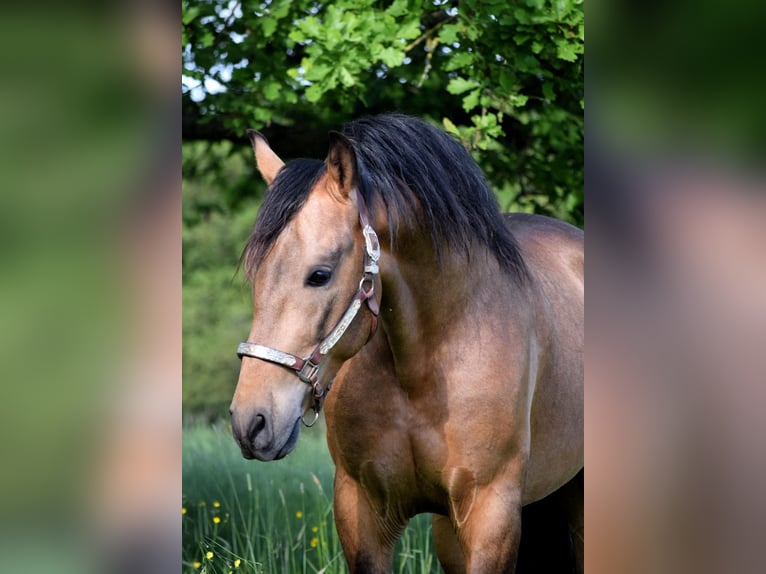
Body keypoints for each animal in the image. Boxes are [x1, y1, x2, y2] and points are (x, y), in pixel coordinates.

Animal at [229, 114, 583, 573]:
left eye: (320, 275)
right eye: (255, 275)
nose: (250, 423)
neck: (422, 365)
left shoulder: (491, 514)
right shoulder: (361, 510)